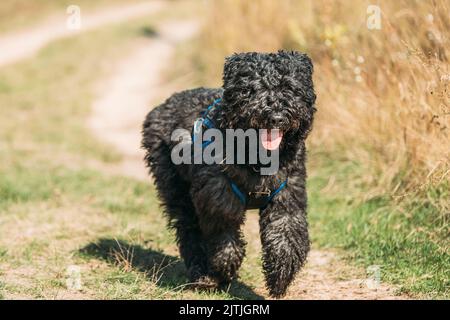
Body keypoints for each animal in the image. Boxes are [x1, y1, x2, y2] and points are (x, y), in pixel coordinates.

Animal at [143, 50, 316, 298]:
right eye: (254, 88)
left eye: (290, 88)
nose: (276, 116)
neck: (256, 157)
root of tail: (162, 106)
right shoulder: (218, 200)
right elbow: (224, 240)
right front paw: (223, 270)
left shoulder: (286, 196)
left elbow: (286, 235)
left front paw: (280, 275)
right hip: (176, 190)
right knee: (189, 231)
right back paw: (202, 273)